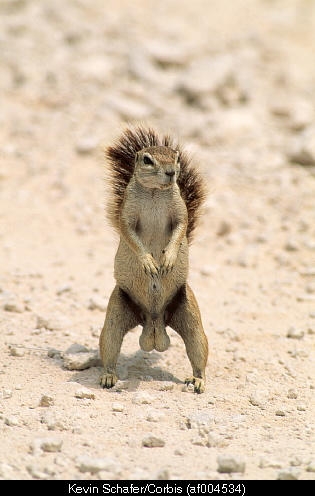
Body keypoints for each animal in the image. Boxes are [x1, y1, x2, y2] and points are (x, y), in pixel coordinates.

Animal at [100, 126, 210, 394]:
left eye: (176, 157)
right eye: (148, 160)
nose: (171, 172)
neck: (154, 193)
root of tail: (153, 322)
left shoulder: (180, 211)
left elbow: (181, 228)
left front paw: (167, 258)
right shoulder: (127, 215)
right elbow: (130, 234)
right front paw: (149, 262)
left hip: (189, 314)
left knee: (197, 350)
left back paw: (198, 380)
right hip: (116, 313)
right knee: (109, 346)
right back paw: (108, 376)